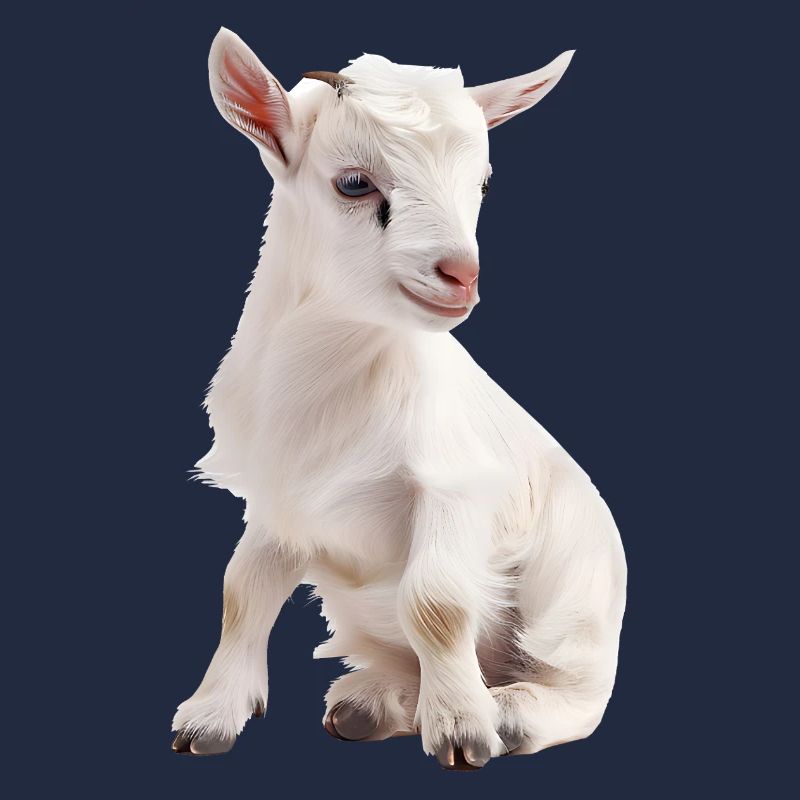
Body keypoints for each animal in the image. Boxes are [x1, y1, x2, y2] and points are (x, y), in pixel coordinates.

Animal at [171, 28, 627, 770]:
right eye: (355, 183)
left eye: (483, 182)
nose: (462, 274)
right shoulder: (279, 502)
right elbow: (242, 591)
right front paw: (208, 717)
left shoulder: (452, 486)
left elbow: (436, 604)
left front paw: (464, 729)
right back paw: (372, 704)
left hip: (573, 597)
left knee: (577, 687)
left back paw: (509, 709)